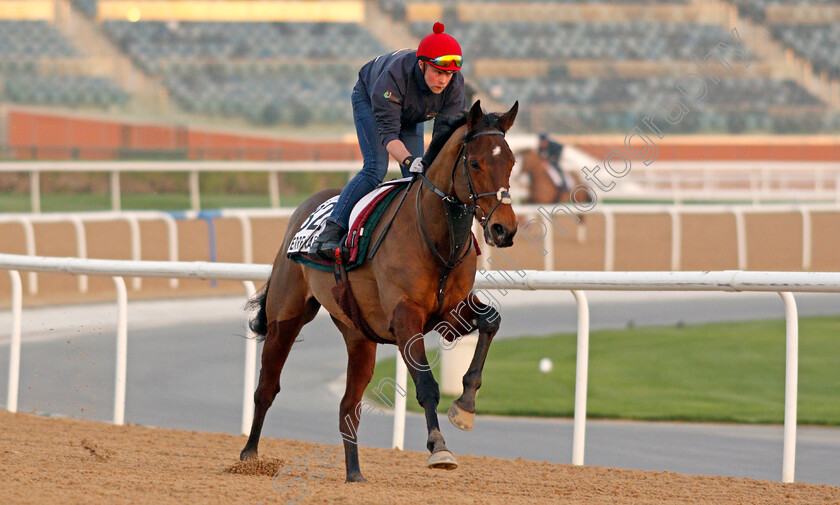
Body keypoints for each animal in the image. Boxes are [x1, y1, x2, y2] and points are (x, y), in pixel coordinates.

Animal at [240, 100, 520, 482]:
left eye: (511, 163)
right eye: (475, 163)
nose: (504, 229)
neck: (436, 238)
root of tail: (302, 212)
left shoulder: (450, 312)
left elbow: (492, 320)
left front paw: (465, 406)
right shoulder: (405, 317)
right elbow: (426, 384)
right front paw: (439, 447)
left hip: (359, 335)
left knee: (348, 406)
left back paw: (354, 474)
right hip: (286, 317)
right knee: (267, 387)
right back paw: (249, 456)